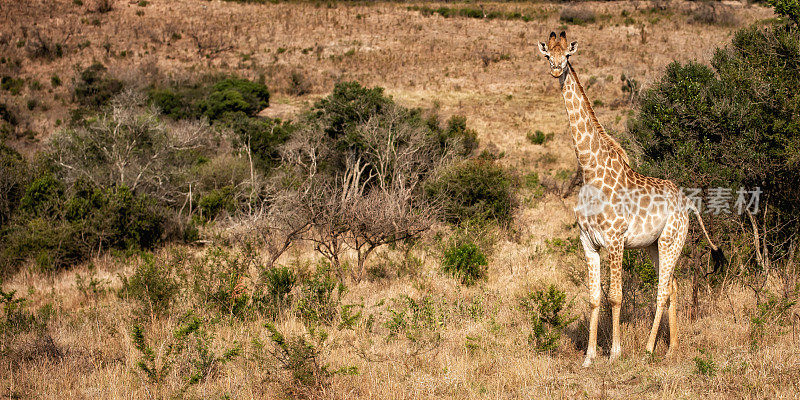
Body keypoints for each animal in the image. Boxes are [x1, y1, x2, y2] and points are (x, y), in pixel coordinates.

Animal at [536, 32, 728, 368]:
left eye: (568, 55)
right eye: (548, 55)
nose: (557, 69)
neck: (591, 172)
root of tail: (688, 203)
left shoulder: (615, 240)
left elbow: (615, 296)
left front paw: (614, 353)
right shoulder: (588, 241)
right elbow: (593, 297)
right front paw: (588, 358)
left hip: (672, 239)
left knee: (662, 290)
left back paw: (650, 349)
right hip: (654, 244)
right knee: (673, 286)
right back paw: (672, 348)